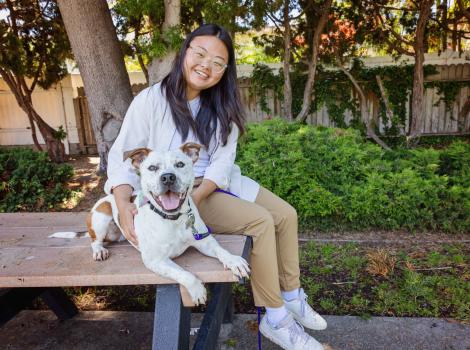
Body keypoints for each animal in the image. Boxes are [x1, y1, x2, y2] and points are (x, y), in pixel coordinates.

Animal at [86, 144, 252, 304]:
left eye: (180, 164)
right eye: (152, 167)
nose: (167, 177)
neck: (173, 219)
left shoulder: (204, 240)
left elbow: (221, 250)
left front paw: (234, 261)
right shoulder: (156, 260)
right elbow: (183, 273)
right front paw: (197, 290)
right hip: (101, 218)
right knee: (95, 241)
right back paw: (99, 250)